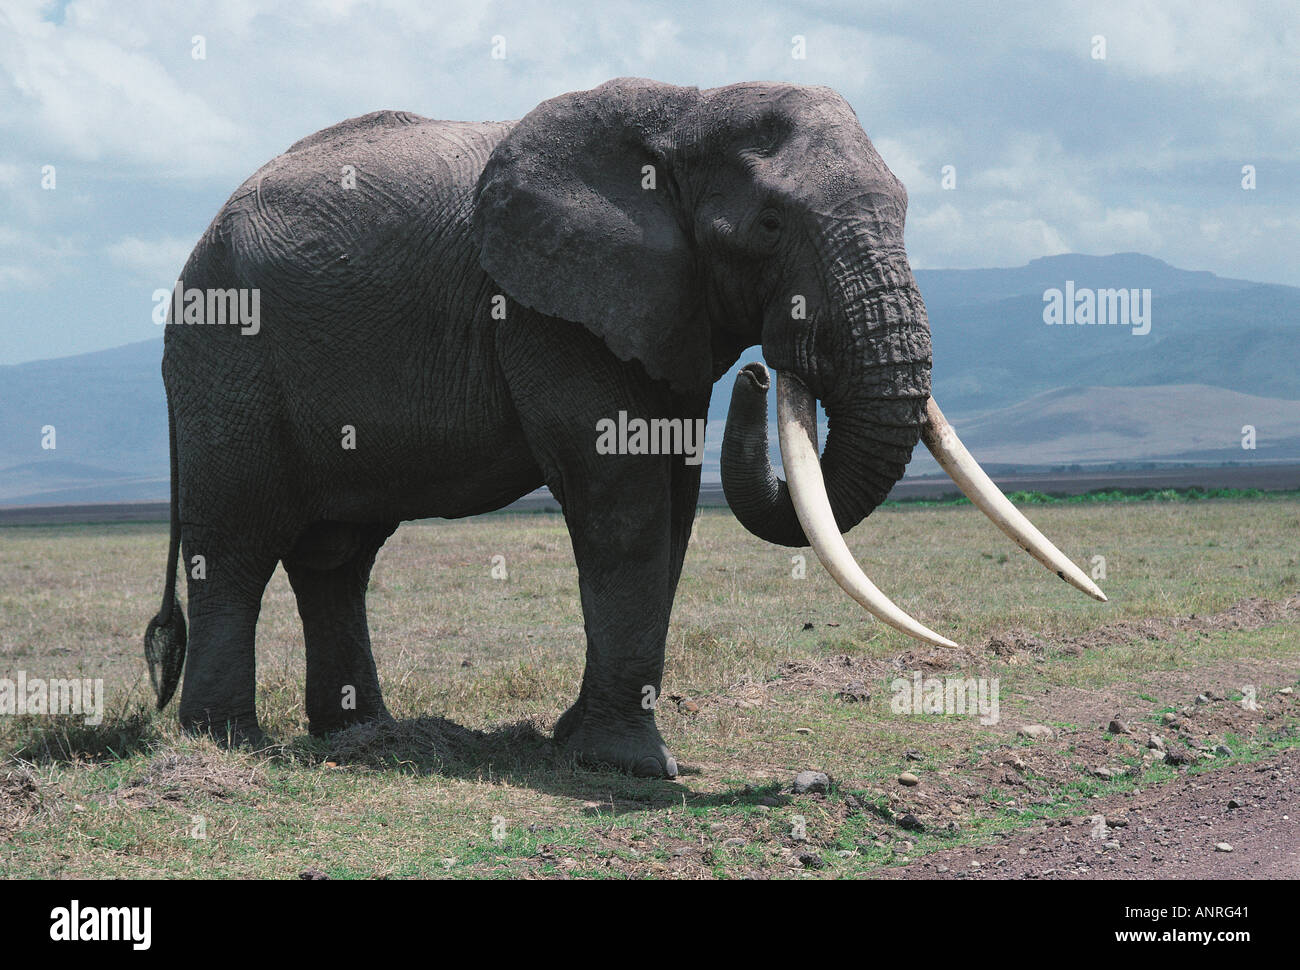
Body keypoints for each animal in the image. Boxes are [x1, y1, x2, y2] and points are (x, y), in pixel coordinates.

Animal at [144, 75, 1107, 774]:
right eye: (769, 225)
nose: (761, 371)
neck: (684, 111)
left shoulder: (658, 312)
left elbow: (673, 502)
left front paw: (578, 742)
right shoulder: (547, 309)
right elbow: (623, 497)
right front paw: (635, 768)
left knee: (336, 556)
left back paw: (359, 738)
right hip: (227, 358)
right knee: (238, 542)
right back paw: (227, 744)